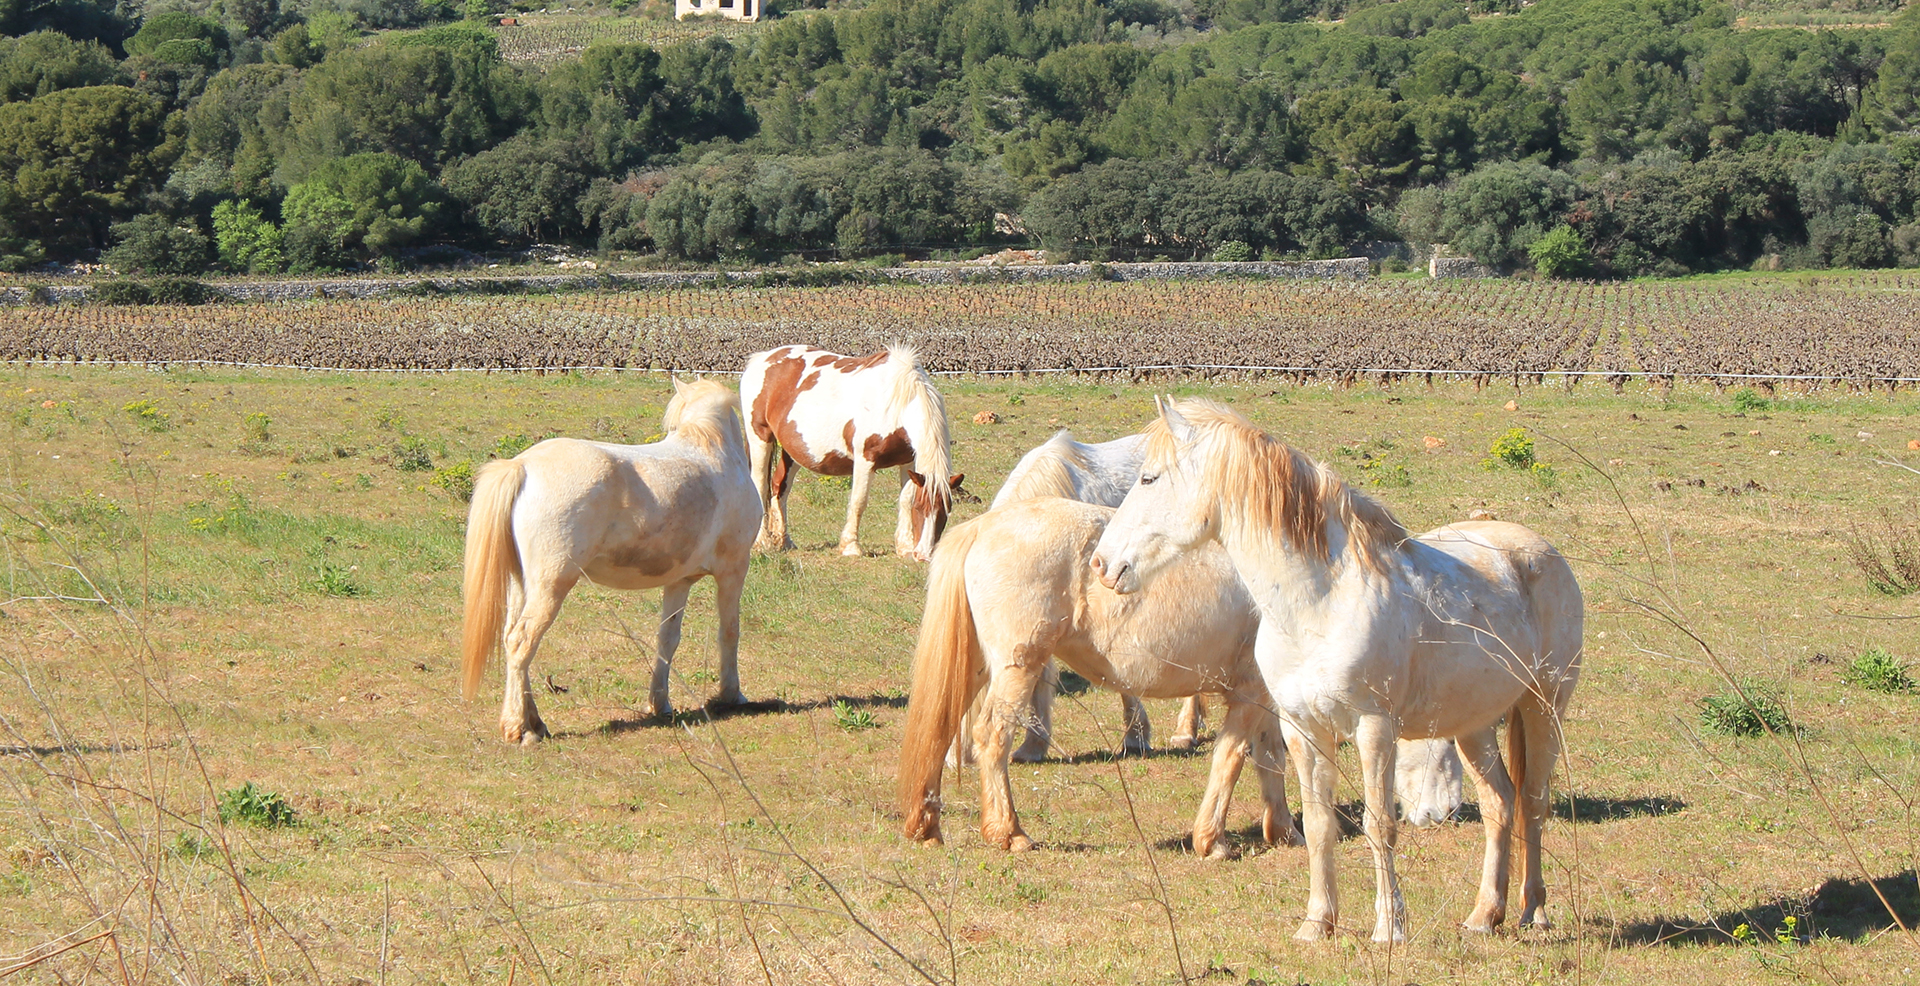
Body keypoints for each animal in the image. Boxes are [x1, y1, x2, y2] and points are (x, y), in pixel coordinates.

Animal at [460, 375, 760, 736]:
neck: (714, 451)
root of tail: (523, 466)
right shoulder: (734, 570)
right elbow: (729, 631)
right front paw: (732, 695)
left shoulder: (679, 581)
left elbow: (667, 639)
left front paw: (660, 703)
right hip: (550, 586)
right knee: (522, 642)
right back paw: (519, 729)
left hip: (521, 583)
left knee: (511, 640)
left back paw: (534, 722)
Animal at [744, 343, 967, 560]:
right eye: (920, 508)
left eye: (946, 511)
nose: (924, 555)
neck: (897, 403)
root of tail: (761, 358)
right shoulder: (865, 460)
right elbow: (859, 501)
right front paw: (850, 547)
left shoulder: (909, 462)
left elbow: (904, 500)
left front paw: (904, 547)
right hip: (760, 438)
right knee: (761, 485)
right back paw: (761, 542)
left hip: (792, 451)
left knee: (779, 486)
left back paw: (784, 541)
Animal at [1090, 395, 1582, 939]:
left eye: (1149, 478)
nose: (1102, 564)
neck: (1320, 604)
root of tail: (1541, 552)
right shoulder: (1303, 728)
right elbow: (1320, 823)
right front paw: (1317, 923)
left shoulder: (1374, 728)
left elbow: (1379, 825)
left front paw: (1390, 927)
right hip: (1473, 725)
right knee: (1500, 804)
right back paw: (1483, 916)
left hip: (1543, 707)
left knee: (1533, 802)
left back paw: (1533, 910)